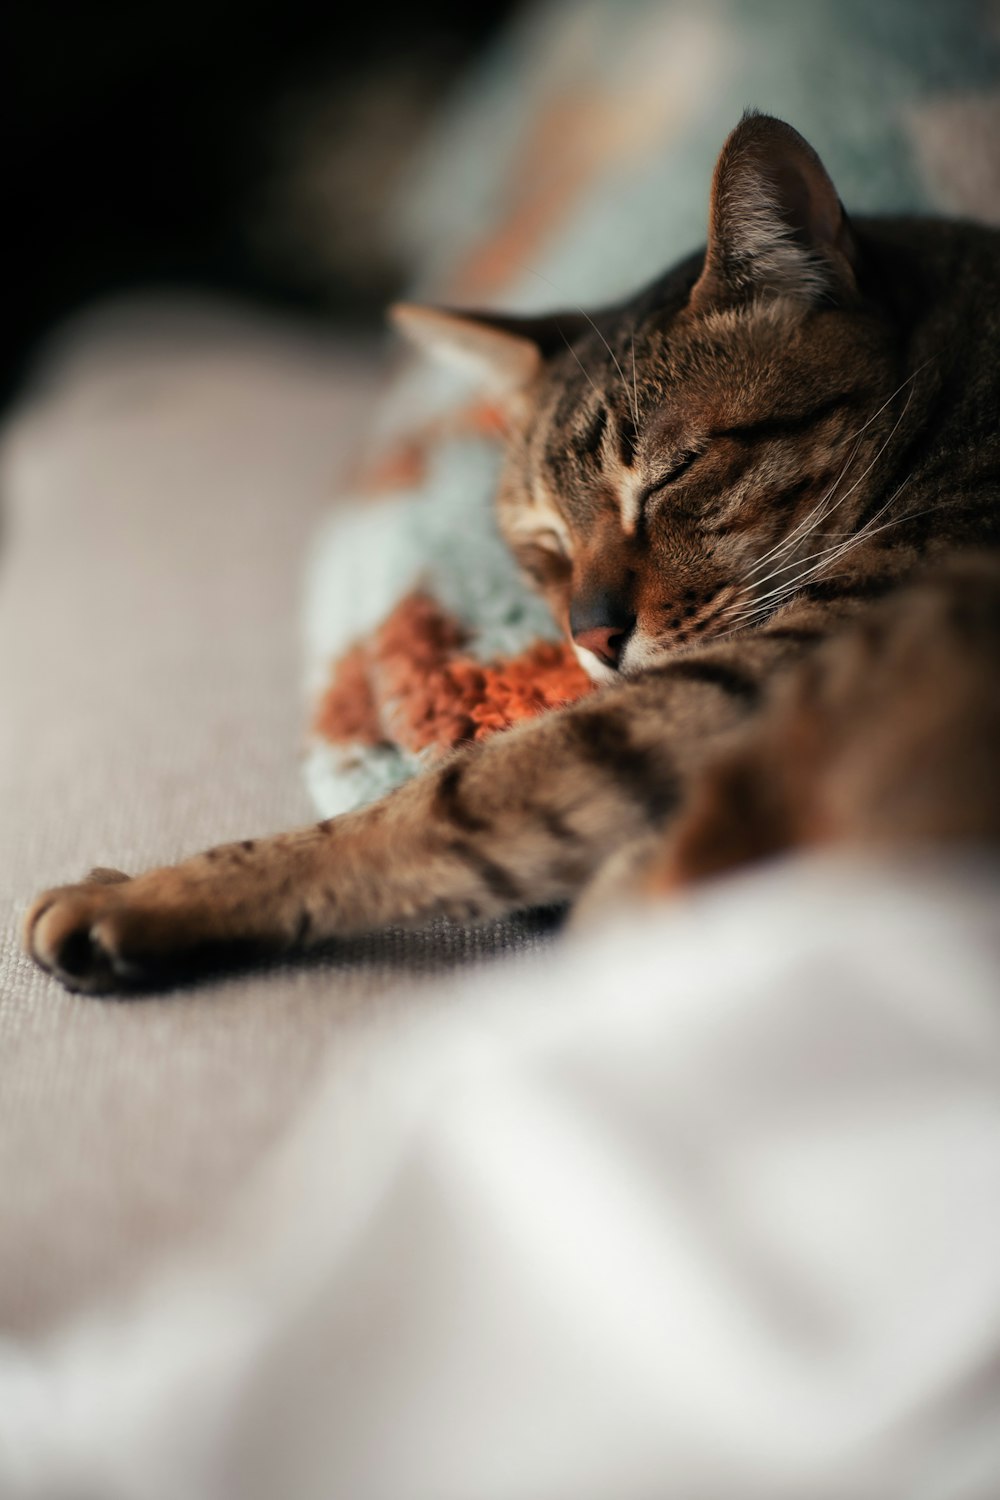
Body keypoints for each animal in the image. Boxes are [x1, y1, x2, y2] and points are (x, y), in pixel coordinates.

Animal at [23, 111, 1000, 990]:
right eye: (543, 543)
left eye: (673, 475)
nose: (590, 637)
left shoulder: (747, 674)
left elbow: (437, 809)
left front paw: (142, 896)